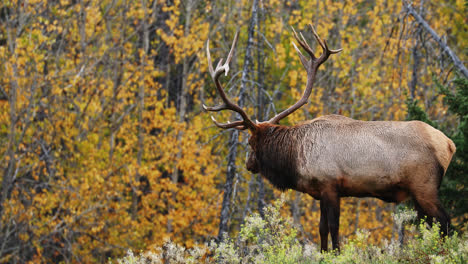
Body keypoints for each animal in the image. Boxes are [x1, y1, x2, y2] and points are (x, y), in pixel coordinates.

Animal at [203, 24, 456, 252]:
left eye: (249, 142)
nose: (249, 164)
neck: (295, 155)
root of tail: (449, 144)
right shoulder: (321, 192)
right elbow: (322, 228)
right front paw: (324, 253)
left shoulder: (330, 185)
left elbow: (334, 228)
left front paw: (336, 252)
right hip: (418, 193)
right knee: (429, 224)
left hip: (424, 185)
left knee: (445, 221)